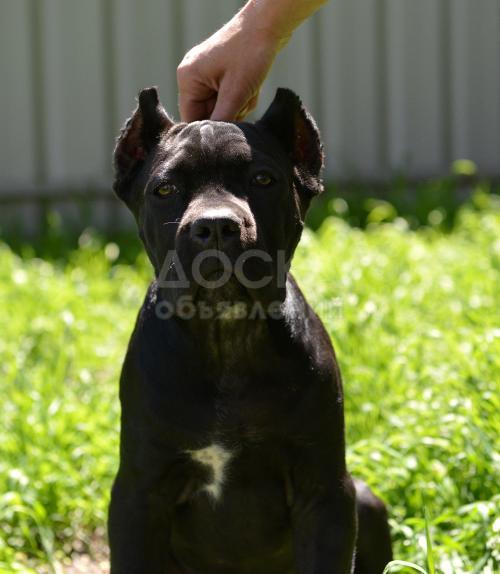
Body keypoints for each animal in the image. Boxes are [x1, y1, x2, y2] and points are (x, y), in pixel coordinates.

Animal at [108, 86, 392, 573]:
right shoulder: (139, 493)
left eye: (262, 180)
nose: (216, 226)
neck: (227, 336)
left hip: (365, 500)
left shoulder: (325, 492)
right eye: (165, 189)